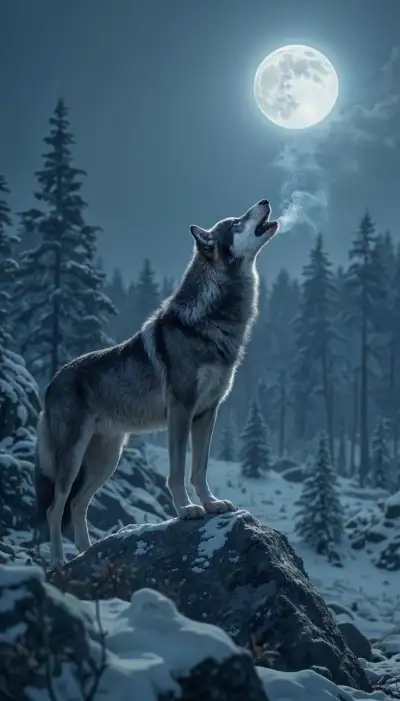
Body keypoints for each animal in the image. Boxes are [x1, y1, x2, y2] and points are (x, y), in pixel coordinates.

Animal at [35, 199, 279, 565]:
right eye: (236, 222)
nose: (264, 201)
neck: (210, 323)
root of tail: (51, 382)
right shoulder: (181, 410)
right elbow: (177, 471)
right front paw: (186, 509)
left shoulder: (207, 413)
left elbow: (199, 468)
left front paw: (211, 504)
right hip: (73, 458)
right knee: (55, 507)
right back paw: (59, 563)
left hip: (107, 460)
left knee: (78, 504)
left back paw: (88, 552)